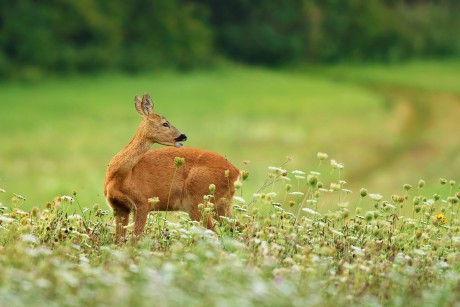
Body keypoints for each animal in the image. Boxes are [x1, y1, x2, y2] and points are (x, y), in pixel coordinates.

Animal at [103, 92, 241, 242]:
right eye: (165, 123)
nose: (183, 136)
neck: (122, 177)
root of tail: (236, 172)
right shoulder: (119, 207)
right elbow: (119, 241)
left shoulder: (143, 202)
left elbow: (135, 239)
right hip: (221, 204)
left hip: (198, 199)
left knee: (215, 234)